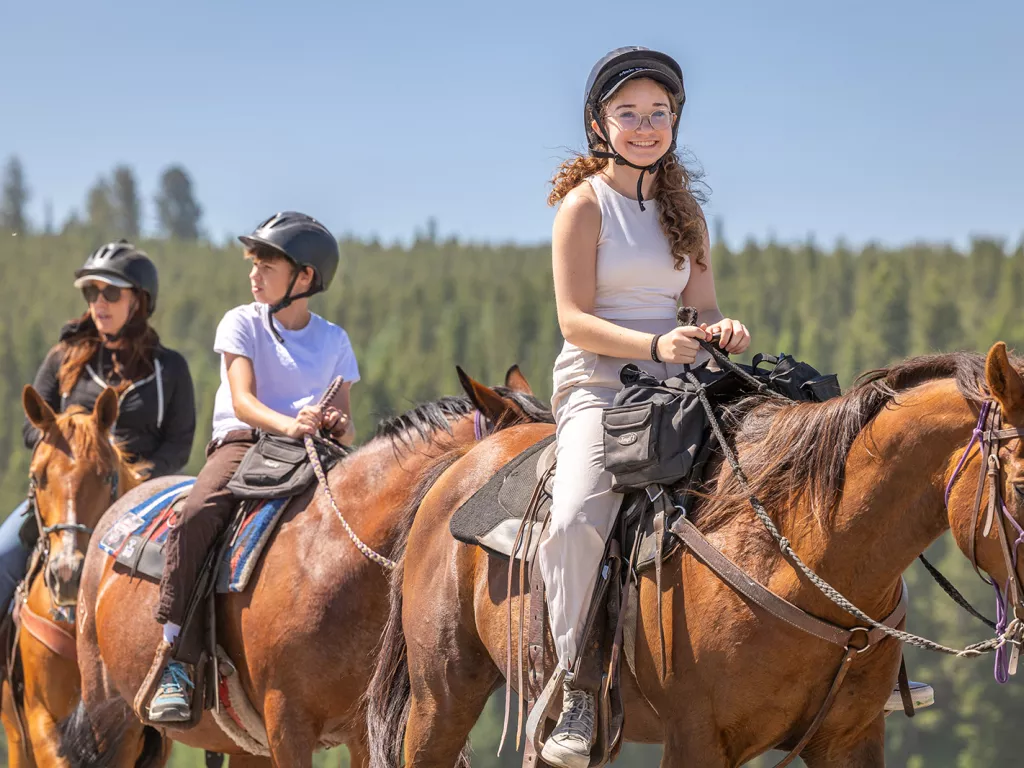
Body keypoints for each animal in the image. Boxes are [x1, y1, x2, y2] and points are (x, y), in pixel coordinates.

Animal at [368, 344, 1024, 768]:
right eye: (1019, 484)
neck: (797, 555)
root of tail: (454, 474)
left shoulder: (849, 740)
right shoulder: (697, 740)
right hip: (441, 700)